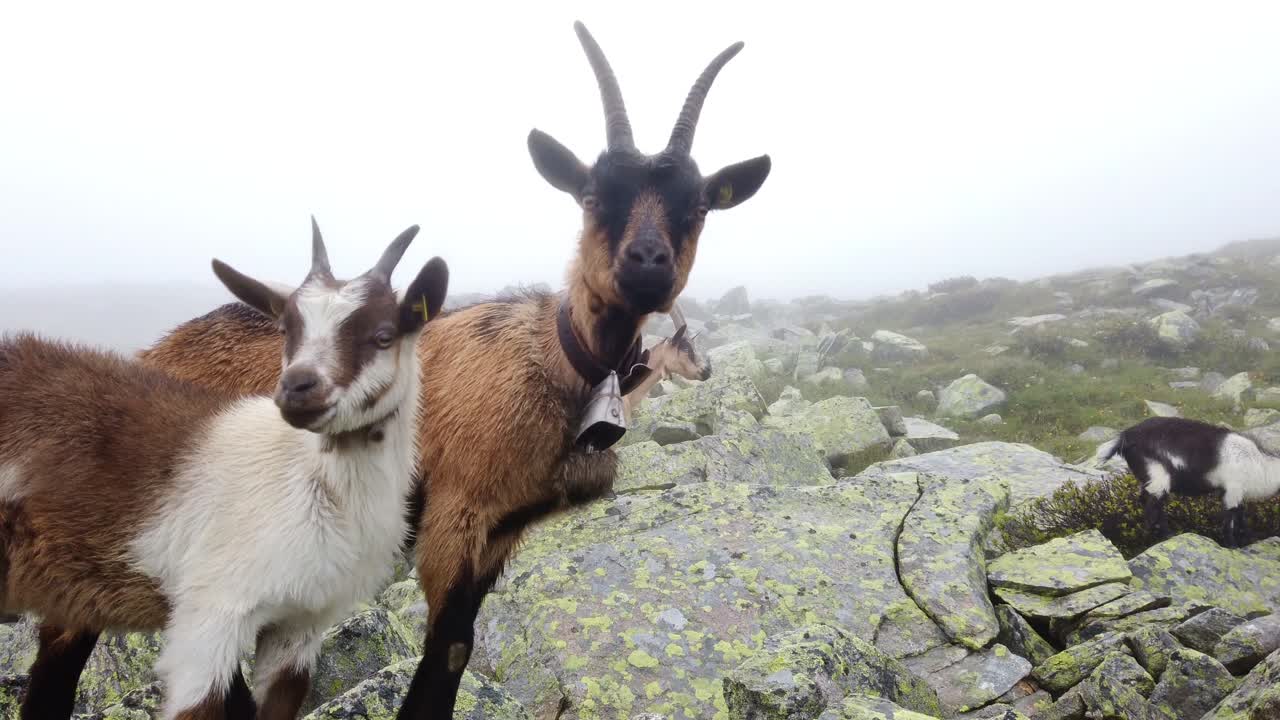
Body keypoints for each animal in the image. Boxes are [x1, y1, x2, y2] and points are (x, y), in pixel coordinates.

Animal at [0, 221, 448, 720]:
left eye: (385, 334)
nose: (297, 388)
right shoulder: (210, 619)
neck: (312, 484)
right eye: (286, 328)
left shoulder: (300, 626)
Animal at [131, 21, 770, 719]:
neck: (551, 361)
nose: (648, 263)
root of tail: (151, 351)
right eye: (592, 195)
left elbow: (458, 648)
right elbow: (445, 649)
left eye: (699, 207)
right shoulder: (454, 513)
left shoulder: (503, 529)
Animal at [1096, 416, 1280, 548]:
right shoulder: (1233, 489)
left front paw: (1249, 538)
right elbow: (1230, 516)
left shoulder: (1233, 492)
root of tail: (1125, 437)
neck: (1260, 464)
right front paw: (1232, 545)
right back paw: (1164, 535)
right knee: (1153, 505)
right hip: (1159, 475)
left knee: (1148, 501)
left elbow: (1241, 514)